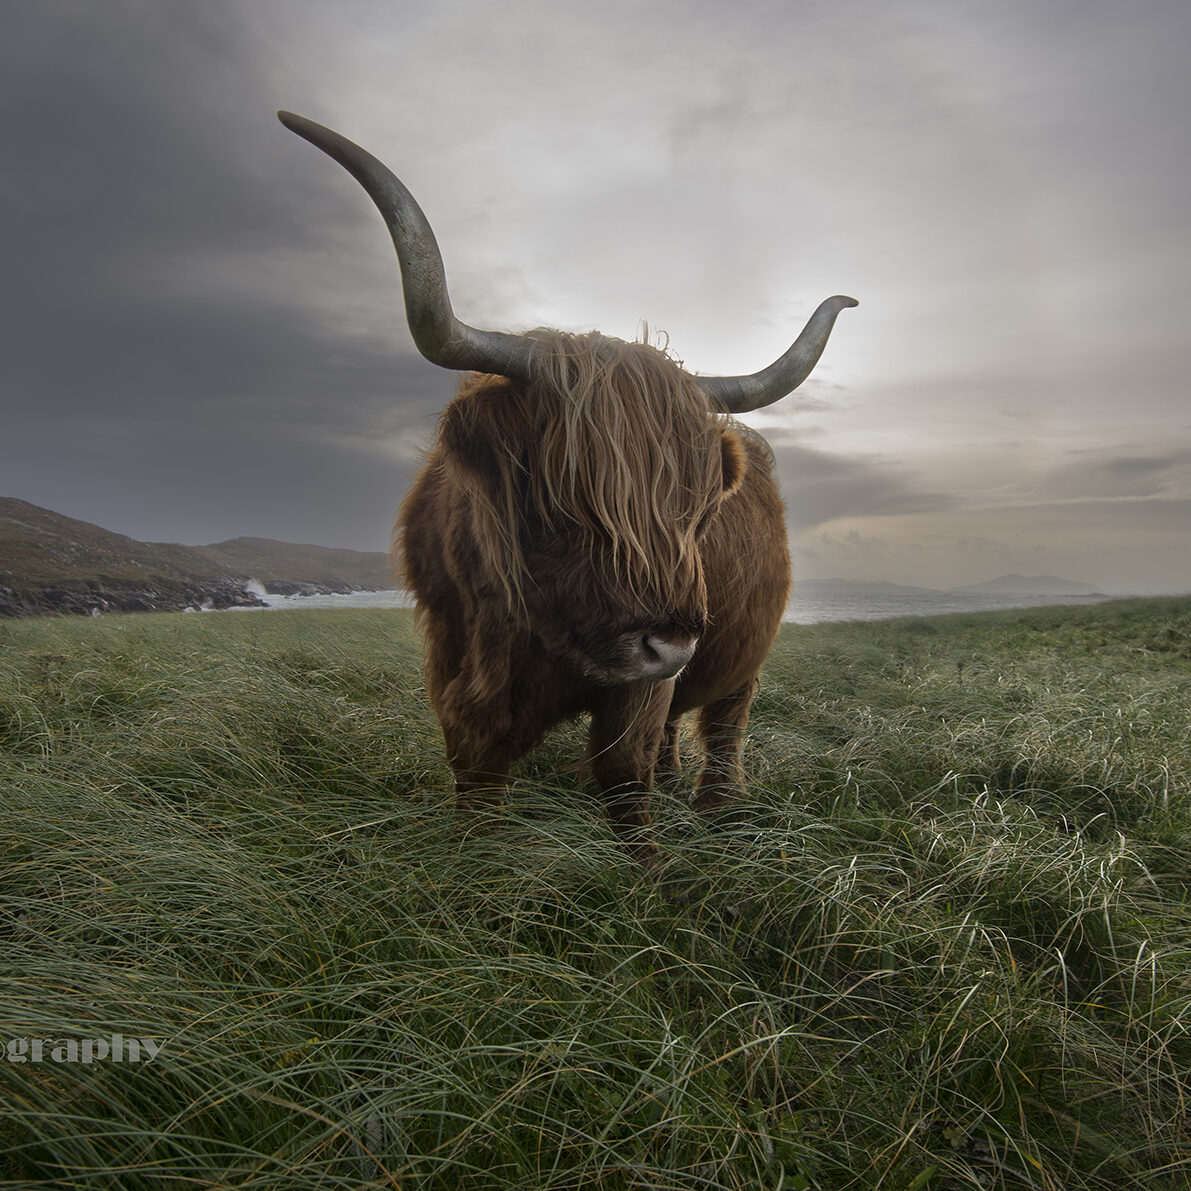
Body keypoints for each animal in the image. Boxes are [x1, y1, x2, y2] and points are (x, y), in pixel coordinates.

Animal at [278, 113, 857, 867]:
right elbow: (477, 764)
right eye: (560, 498)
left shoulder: (638, 689)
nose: (671, 645)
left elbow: (623, 771)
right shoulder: (456, 658)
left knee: (725, 719)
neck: (518, 628)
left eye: (698, 510)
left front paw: (644, 872)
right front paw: (476, 862)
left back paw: (718, 806)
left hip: (739, 658)